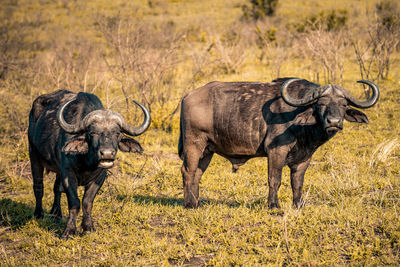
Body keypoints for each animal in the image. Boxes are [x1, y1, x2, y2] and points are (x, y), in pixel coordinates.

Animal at [27, 90, 150, 239]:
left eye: (117, 133)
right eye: (93, 133)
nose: (107, 154)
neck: (87, 163)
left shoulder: (99, 177)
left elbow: (87, 202)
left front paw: (88, 228)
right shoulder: (68, 174)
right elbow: (74, 202)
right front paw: (68, 231)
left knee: (56, 188)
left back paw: (56, 214)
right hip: (34, 156)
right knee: (38, 187)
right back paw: (38, 214)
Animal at [178, 78, 378, 210]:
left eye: (343, 105)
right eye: (321, 104)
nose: (334, 122)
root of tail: (187, 96)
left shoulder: (304, 157)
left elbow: (297, 182)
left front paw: (298, 205)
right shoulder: (276, 151)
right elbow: (275, 179)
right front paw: (274, 206)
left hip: (207, 150)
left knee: (197, 173)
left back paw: (196, 202)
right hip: (193, 145)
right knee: (188, 171)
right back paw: (189, 204)